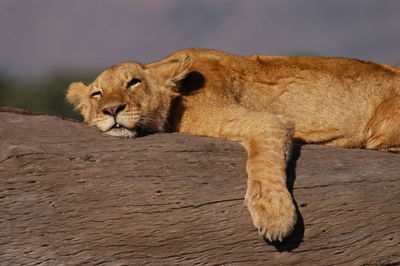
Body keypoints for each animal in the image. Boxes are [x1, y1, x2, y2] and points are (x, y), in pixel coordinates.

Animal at [66, 48, 400, 243]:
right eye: (97, 93)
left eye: (133, 82)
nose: (111, 110)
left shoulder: (267, 120)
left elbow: (262, 163)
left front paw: (274, 215)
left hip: (381, 124)